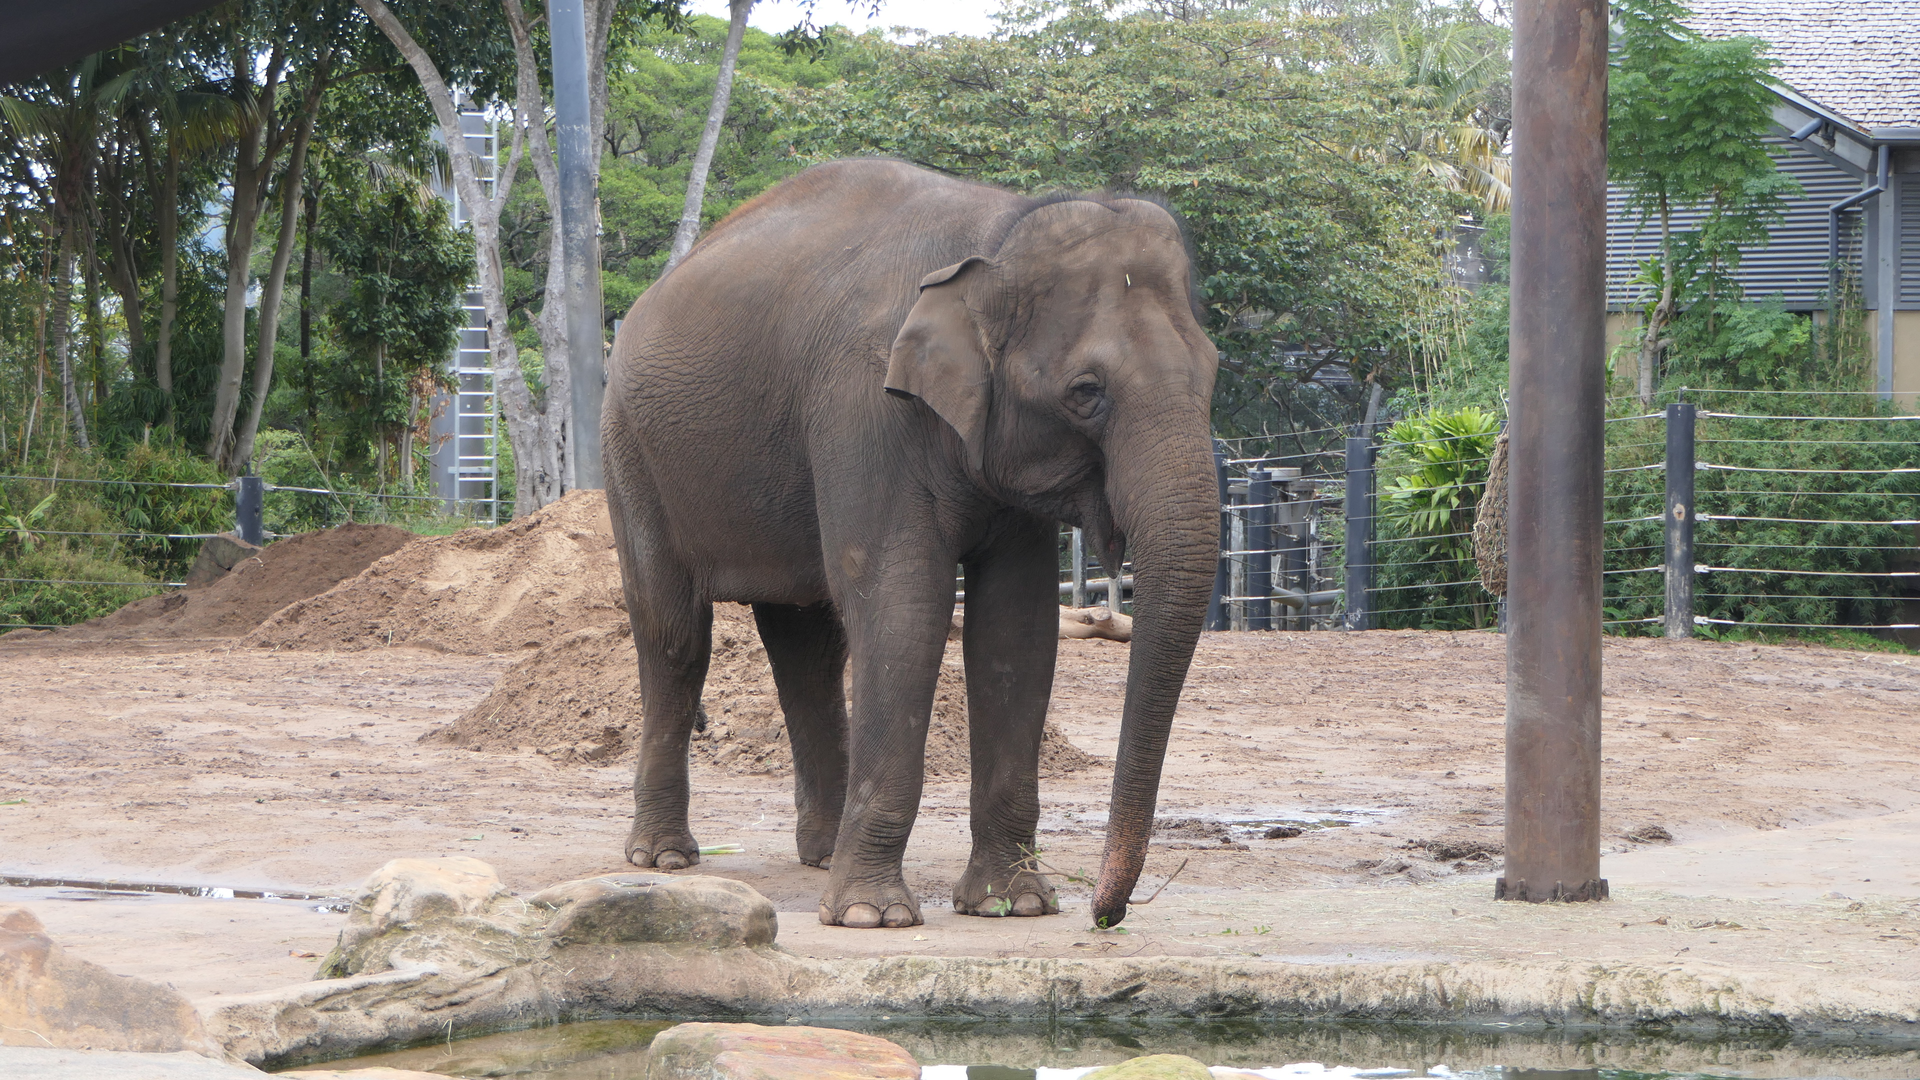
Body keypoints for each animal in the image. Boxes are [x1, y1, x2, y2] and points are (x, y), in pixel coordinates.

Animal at [602, 158, 1219, 930]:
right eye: (1086, 390)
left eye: (1214, 371)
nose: (1106, 917)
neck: (994, 234)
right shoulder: (865, 406)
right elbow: (903, 610)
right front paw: (872, 917)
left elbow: (1016, 630)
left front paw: (1014, 905)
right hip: (631, 453)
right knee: (676, 635)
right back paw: (664, 859)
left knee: (807, 646)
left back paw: (820, 853)